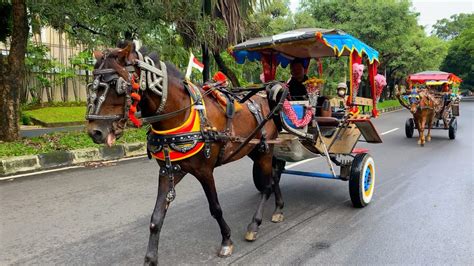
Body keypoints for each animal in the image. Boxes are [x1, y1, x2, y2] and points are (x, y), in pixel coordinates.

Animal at [85, 42, 286, 264]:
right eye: (91, 85)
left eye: (116, 85)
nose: (95, 132)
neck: (180, 113)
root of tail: (265, 98)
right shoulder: (169, 171)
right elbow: (156, 218)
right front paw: (150, 258)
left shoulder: (204, 171)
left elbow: (215, 208)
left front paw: (226, 240)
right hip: (253, 148)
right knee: (275, 174)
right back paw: (278, 208)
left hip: (265, 149)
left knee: (267, 185)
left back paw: (255, 224)